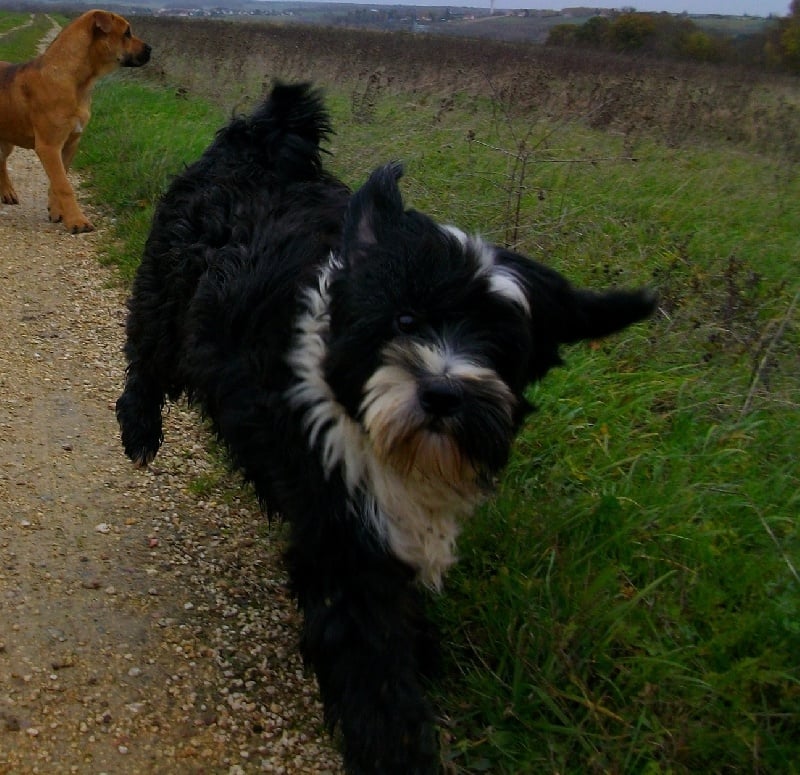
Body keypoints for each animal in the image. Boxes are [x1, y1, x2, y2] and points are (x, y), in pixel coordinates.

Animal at [0, 10, 151, 232]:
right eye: (127, 33)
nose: (150, 49)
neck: (77, 81)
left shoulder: (70, 143)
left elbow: (58, 181)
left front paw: (58, 212)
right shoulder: (49, 146)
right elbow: (64, 185)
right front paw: (78, 221)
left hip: (7, 140)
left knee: (1, 161)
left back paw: (7, 193)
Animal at [119, 82, 656, 772]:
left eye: (504, 350)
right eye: (405, 319)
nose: (445, 393)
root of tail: (261, 144)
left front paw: (425, 649)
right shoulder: (346, 537)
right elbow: (373, 660)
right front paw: (396, 742)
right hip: (166, 282)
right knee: (147, 348)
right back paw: (138, 426)